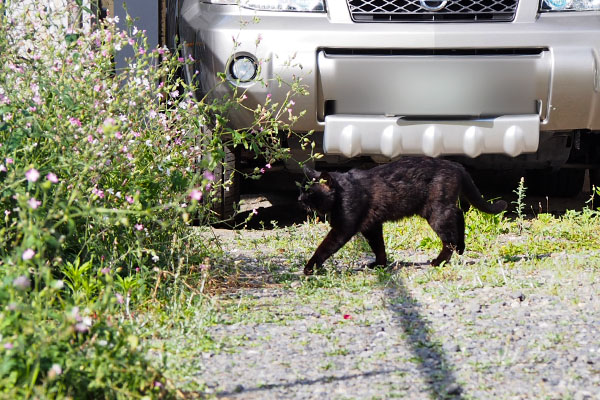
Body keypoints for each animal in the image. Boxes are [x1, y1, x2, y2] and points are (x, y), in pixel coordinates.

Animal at [300, 156, 506, 276]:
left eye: (310, 193)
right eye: (302, 190)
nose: (299, 198)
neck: (342, 193)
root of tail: (456, 165)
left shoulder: (344, 228)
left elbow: (325, 247)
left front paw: (310, 267)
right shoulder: (371, 226)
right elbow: (378, 246)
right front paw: (380, 264)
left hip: (436, 212)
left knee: (449, 238)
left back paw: (439, 261)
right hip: (441, 208)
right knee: (459, 215)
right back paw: (461, 248)